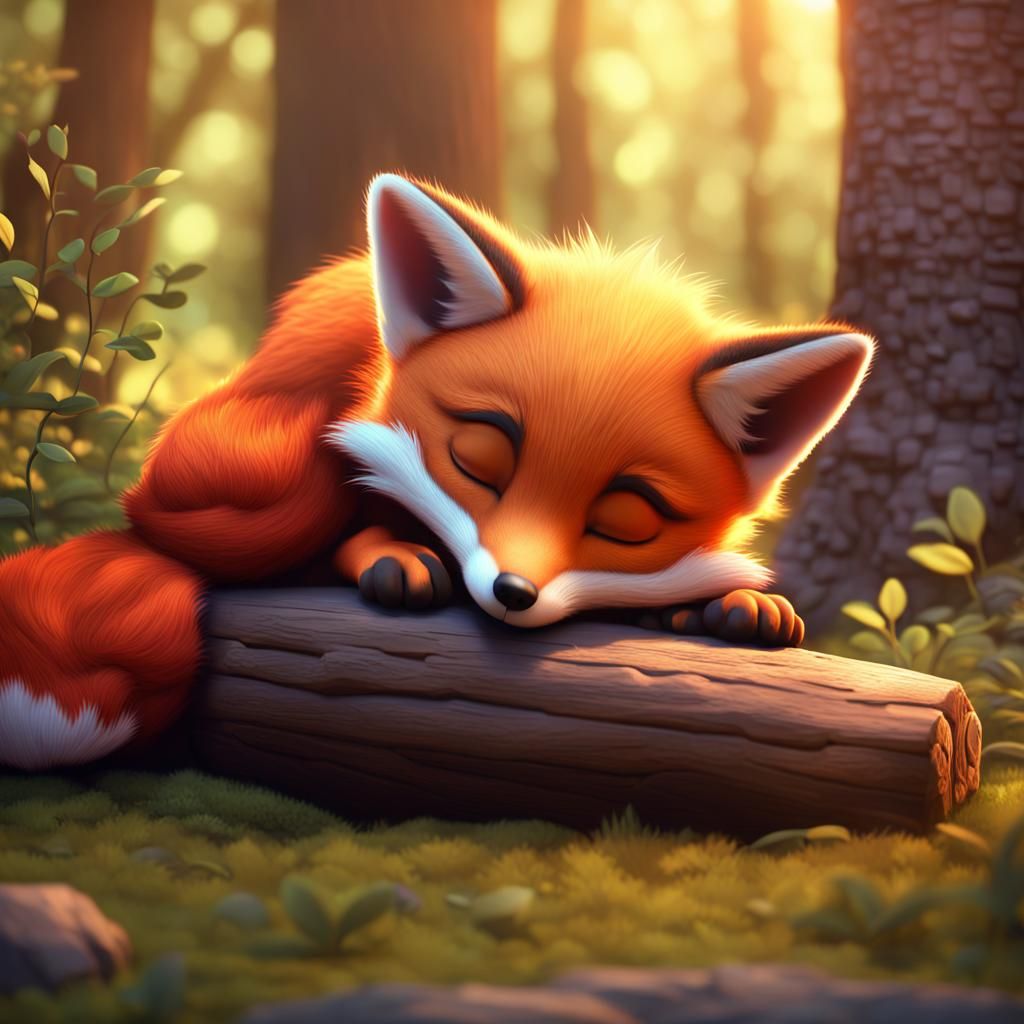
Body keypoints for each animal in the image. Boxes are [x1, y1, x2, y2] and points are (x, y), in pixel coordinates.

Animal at [0, 172, 874, 771]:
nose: (513, 593)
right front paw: (393, 554)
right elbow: (353, 522)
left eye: (625, 521)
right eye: (478, 461)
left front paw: (734, 607)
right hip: (218, 457)